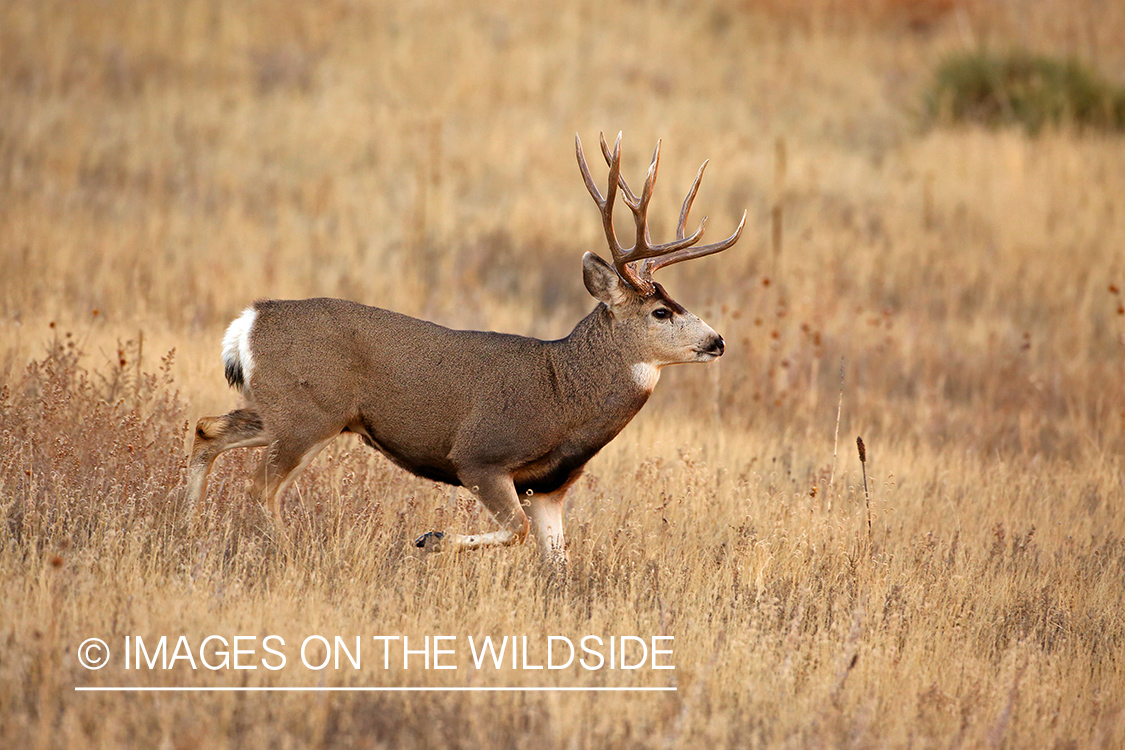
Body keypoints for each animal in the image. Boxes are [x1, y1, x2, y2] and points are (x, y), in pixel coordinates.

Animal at [187, 133, 742, 562]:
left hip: (284, 408)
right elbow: (516, 531)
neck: (563, 394)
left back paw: (187, 527)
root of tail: (250, 319)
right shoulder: (480, 455)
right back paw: (286, 552)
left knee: (207, 429)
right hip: (309, 414)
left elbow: (557, 561)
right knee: (259, 485)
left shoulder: (550, 487)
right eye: (661, 312)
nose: (717, 342)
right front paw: (429, 539)